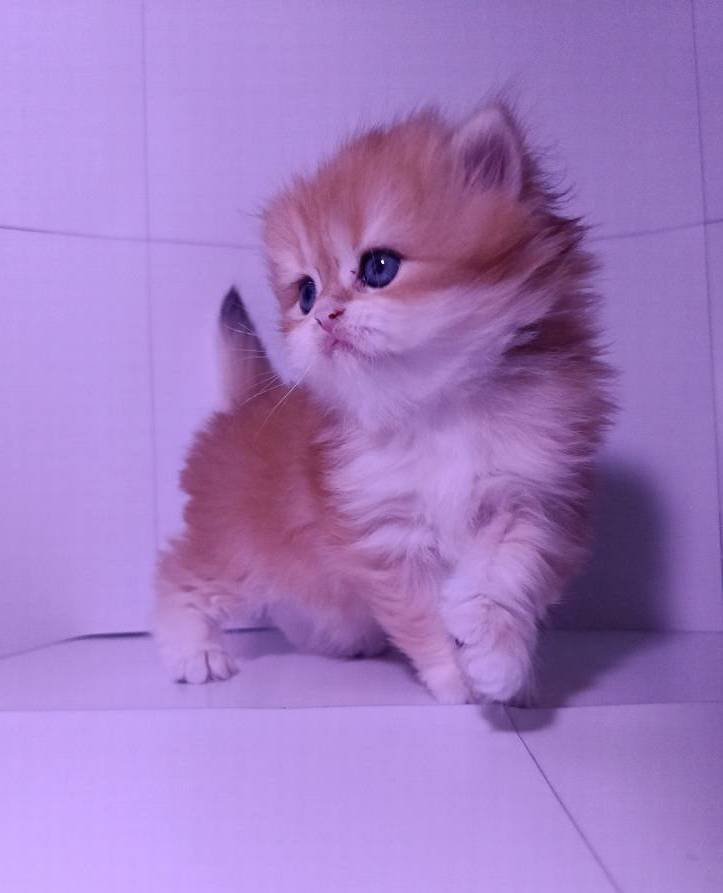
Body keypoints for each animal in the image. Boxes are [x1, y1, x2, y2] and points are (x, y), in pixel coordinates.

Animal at [154, 101, 614, 704]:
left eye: (378, 268)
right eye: (306, 293)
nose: (324, 317)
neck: (436, 404)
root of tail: (249, 400)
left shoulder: (532, 499)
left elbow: (503, 580)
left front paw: (499, 662)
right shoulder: (386, 534)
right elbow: (422, 616)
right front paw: (456, 679)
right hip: (235, 550)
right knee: (178, 574)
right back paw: (195, 653)